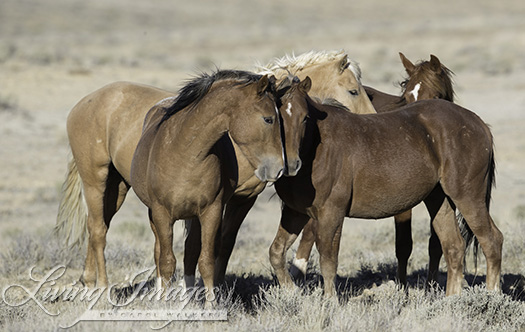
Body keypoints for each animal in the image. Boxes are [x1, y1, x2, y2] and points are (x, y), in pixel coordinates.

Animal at [128, 70, 312, 294]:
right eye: (269, 119)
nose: (279, 168)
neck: (184, 154)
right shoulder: (162, 213)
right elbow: (166, 262)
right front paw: (164, 300)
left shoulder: (211, 211)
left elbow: (206, 261)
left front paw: (211, 301)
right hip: (155, 215)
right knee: (159, 253)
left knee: (190, 251)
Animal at [268, 77, 502, 296]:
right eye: (276, 119)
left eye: (305, 118)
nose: (291, 164)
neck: (317, 148)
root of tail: (479, 123)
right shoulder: (295, 213)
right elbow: (276, 252)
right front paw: (291, 291)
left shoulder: (331, 214)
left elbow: (328, 261)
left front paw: (330, 301)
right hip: (440, 200)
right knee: (454, 246)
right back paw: (451, 300)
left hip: (468, 196)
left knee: (492, 240)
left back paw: (492, 295)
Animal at [290, 52, 458, 286]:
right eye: (406, 98)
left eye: (435, 96)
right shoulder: (403, 203)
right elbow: (403, 244)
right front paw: (402, 287)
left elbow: (436, 243)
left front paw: (431, 285)